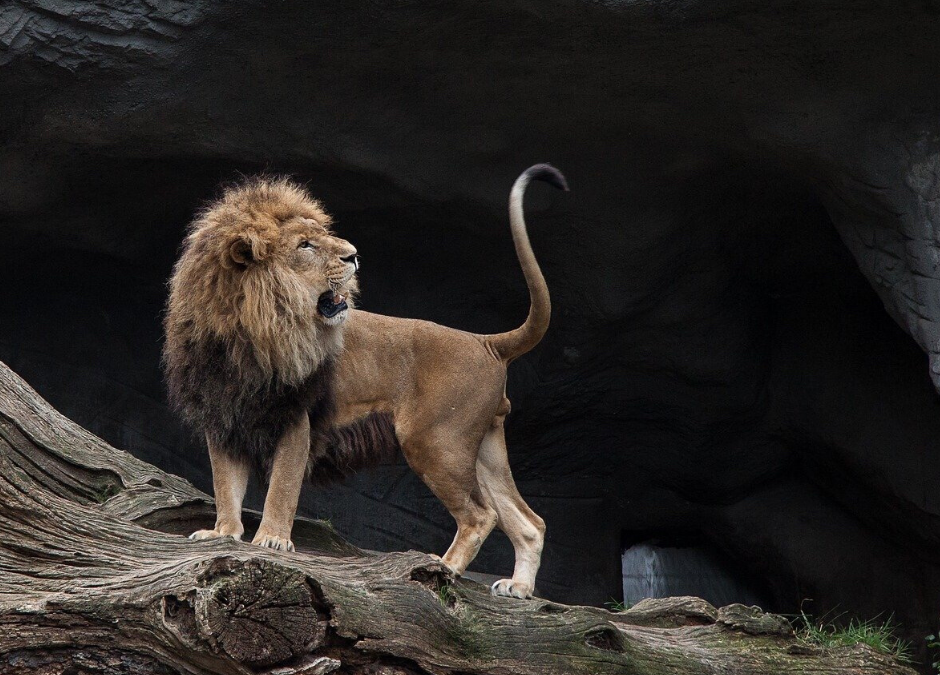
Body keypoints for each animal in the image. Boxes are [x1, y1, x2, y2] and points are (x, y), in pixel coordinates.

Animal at [162, 166, 564, 600]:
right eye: (305, 245)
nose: (353, 255)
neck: (244, 334)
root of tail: (484, 341)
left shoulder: (296, 419)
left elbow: (282, 487)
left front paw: (272, 540)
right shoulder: (223, 419)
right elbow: (225, 485)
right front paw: (223, 533)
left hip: (435, 441)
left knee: (480, 515)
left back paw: (444, 568)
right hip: (481, 448)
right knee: (529, 521)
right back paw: (519, 588)